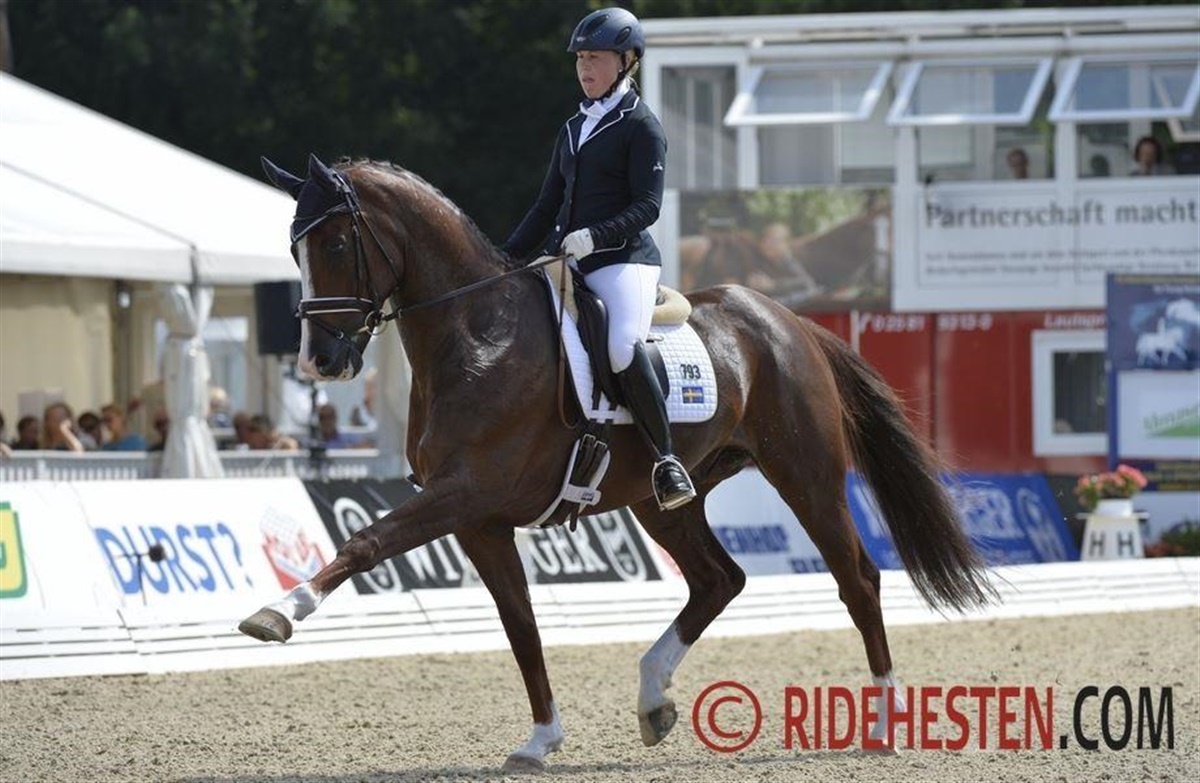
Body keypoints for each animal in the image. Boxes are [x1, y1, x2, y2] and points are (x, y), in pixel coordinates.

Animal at [239, 153, 994, 772]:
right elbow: (521, 625)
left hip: (806, 475)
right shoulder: (481, 521)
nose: (321, 361)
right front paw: (541, 739)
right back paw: (653, 698)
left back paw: (884, 720)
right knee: (719, 579)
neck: (476, 334)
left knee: (856, 578)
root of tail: (787, 320)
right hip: (661, 500)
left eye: (337, 242)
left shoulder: (462, 493)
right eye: (294, 247)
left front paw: (278, 612)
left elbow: (366, 541)